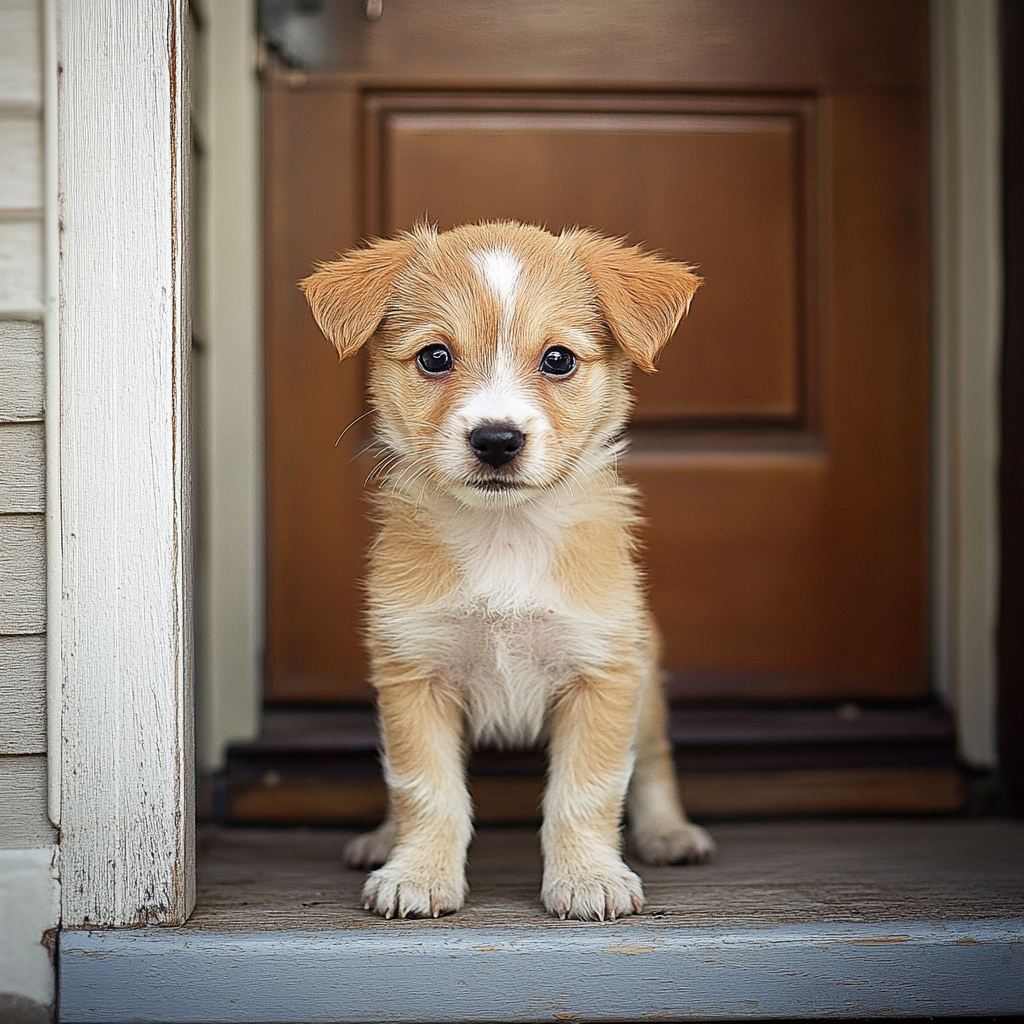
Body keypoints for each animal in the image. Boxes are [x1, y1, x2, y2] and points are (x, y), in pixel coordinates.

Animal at [301, 222, 712, 921]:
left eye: (558, 360)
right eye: (436, 358)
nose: (496, 440)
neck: (505, 536)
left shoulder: (601, 674)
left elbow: (586, 791)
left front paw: (586, 878)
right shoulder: (415, 675)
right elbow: (425, 787)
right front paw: (418, 872)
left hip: (647, 685)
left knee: (654, 759)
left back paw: (668, 832)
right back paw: (383, 839)